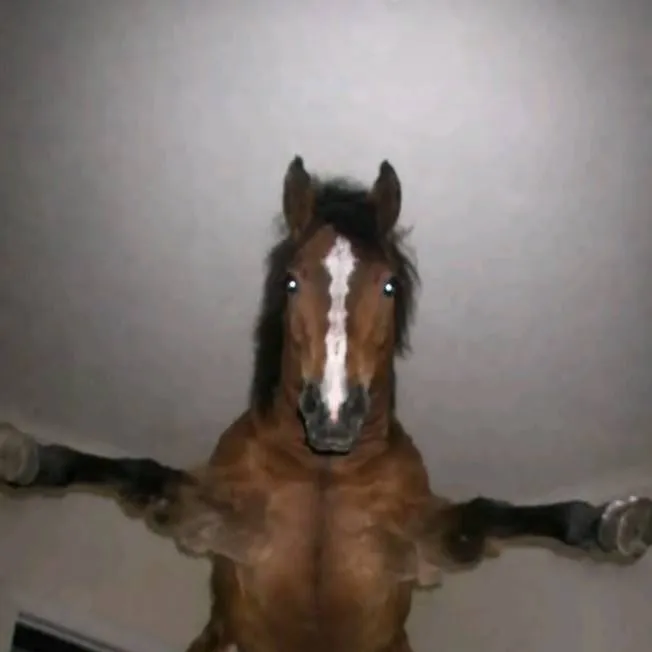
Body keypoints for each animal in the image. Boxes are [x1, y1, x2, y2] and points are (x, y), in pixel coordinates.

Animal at [1, 156, 651, 652]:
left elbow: (492, 512)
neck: (323, 475)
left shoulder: (419, 540)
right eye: (291, 282)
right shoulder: (215, 519)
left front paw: (616, 523)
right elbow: (136, 472)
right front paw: (22, 456)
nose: (333, 417)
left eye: (389, 285)